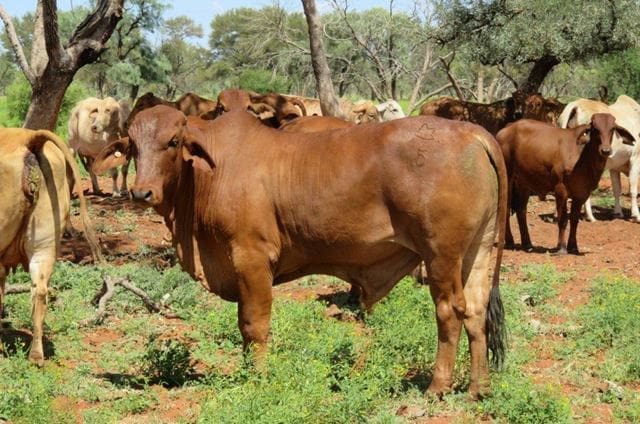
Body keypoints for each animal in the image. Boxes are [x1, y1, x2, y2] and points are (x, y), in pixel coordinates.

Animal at [92, 107, 508, 398]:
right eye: (133, 146)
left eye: (173, 142)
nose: (142, 192)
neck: (208, 174)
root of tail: (472, 132)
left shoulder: (251, 258)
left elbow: (253, 325)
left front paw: (256, 378)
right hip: (476, 252)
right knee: (475, 311)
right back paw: (479, 388)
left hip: (441, 255)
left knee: (449, 312)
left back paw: (438, 386)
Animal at [496, 114, 632, 253]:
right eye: (595, 128)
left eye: (612, 128)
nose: (605, 150)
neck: (584, 159)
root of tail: (507, 128)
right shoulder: (560, 190)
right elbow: (562, 220)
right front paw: (561, 247)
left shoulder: (581, 194)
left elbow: (574, 220)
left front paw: (574, 247)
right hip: (507, 179)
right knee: (505, 209)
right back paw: (510, 242)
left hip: (524, 183)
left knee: (521, 210)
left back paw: (527, 244)